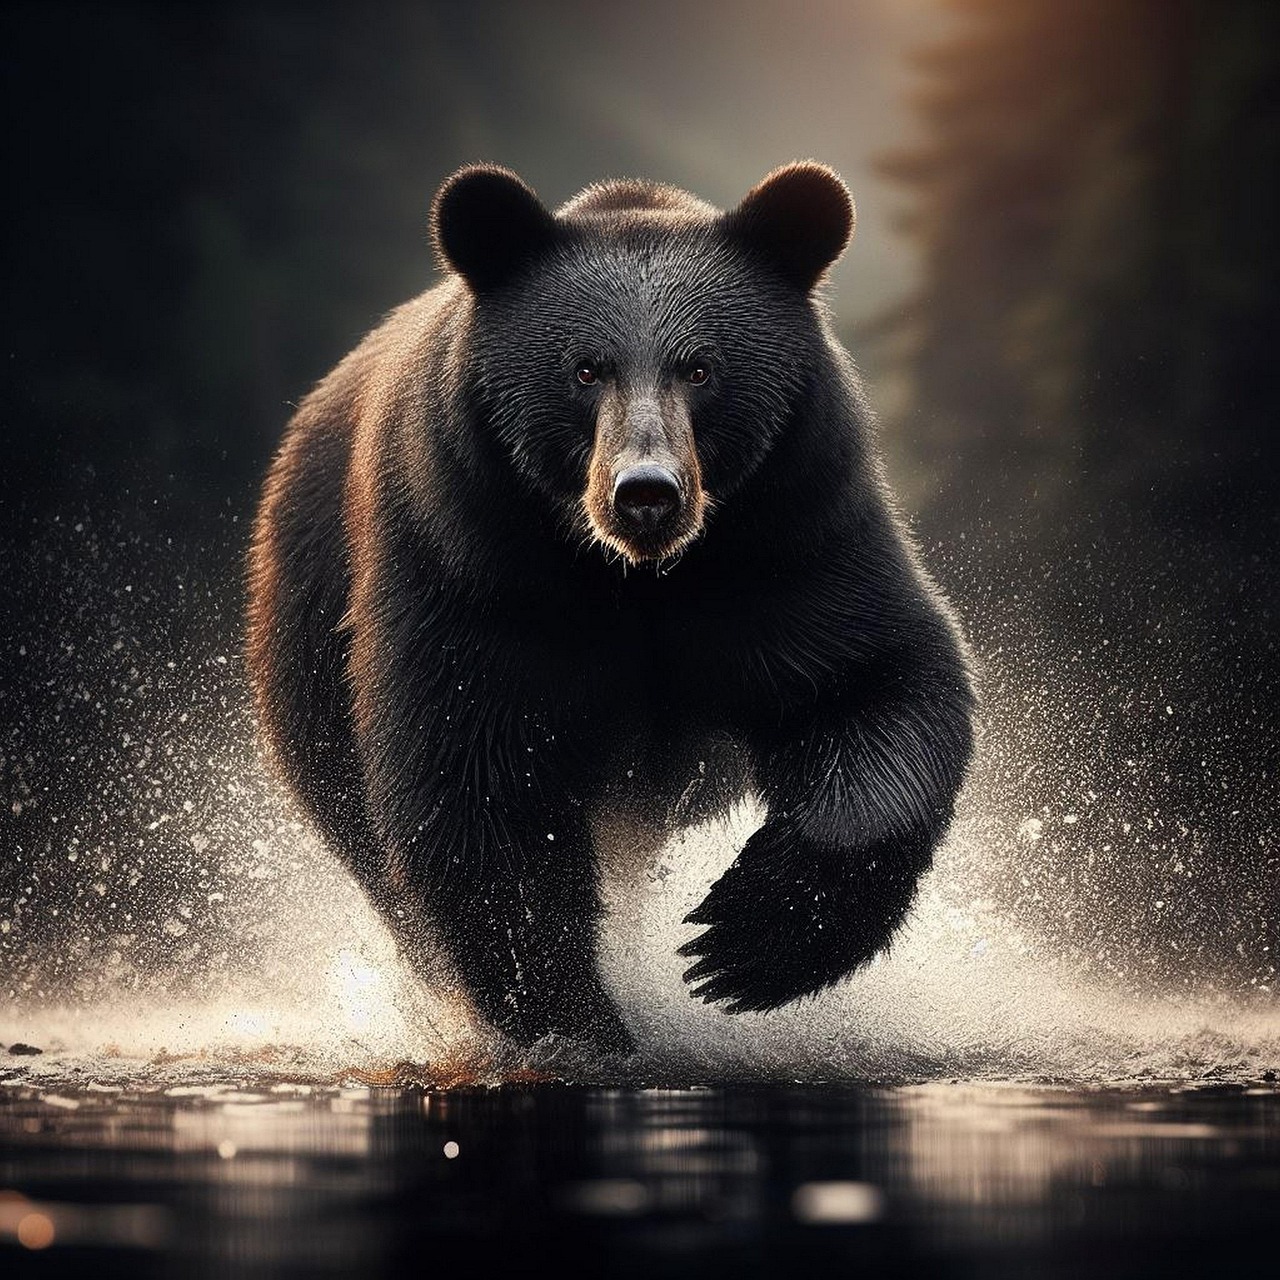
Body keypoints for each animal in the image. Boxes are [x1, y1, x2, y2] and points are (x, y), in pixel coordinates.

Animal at [246, 161, 976, 1055]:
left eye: (701, 367)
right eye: (585, 368)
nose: (647, 493)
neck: (637, 581)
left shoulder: (791, 538)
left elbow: (875, 684)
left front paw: (736, 943)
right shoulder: (476, 567)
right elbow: (479, 776)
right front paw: (580, 1016)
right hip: (310, 647)